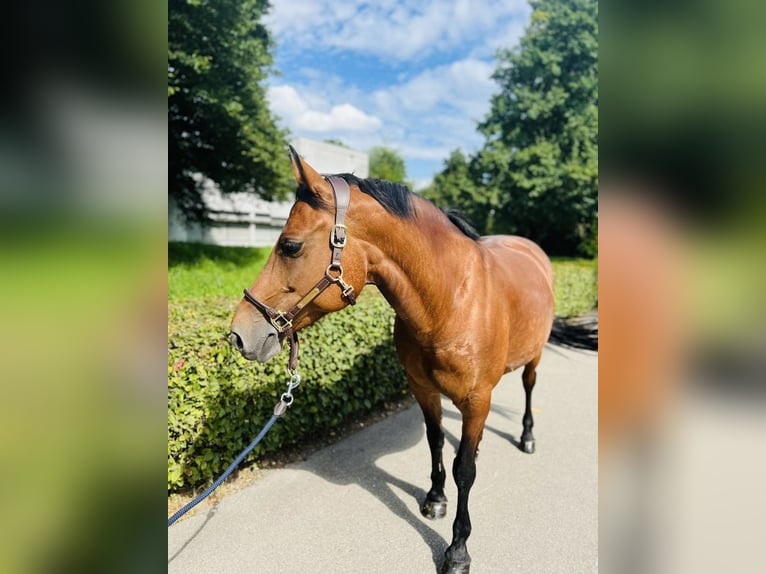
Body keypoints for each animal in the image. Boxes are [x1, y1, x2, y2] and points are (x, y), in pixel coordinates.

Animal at [231, 150, 556, 574]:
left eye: (290, 246)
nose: (239, 334)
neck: (452, 300)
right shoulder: (423, 390)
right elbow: (437, 443)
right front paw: (435, 498)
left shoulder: (477, 398)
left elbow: (464, 470)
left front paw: (457, 549)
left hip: (533, 357)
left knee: (529, 388)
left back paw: (527, 436)